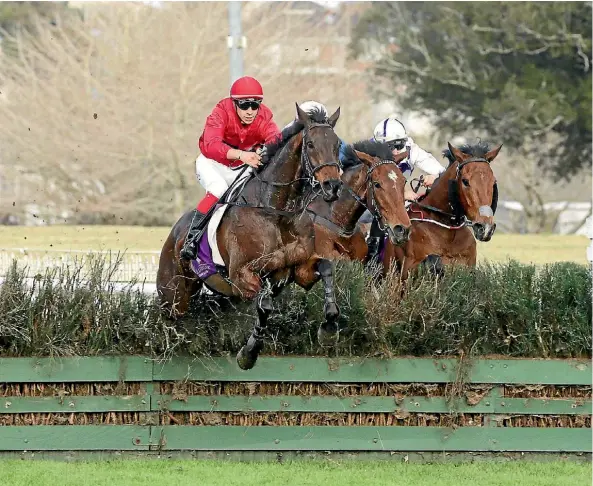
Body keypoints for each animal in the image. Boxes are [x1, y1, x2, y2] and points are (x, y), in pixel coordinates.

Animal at [156, 102, 342, 368]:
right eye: (311, 145)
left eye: (337, 145)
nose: (332, 186)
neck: (275, 210)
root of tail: (175, 232)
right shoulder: (242, 277)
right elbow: (264, 303)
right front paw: (248, 353)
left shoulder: (299, 271)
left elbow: (326, 268)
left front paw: (329, 328)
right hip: (174, 294)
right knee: (169, 315)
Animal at [382, 139, 502, 280]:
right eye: (465, 181)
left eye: (493, 182)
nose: (485, 228)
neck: (447, 232)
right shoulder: (408, 269)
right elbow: (434, 261)